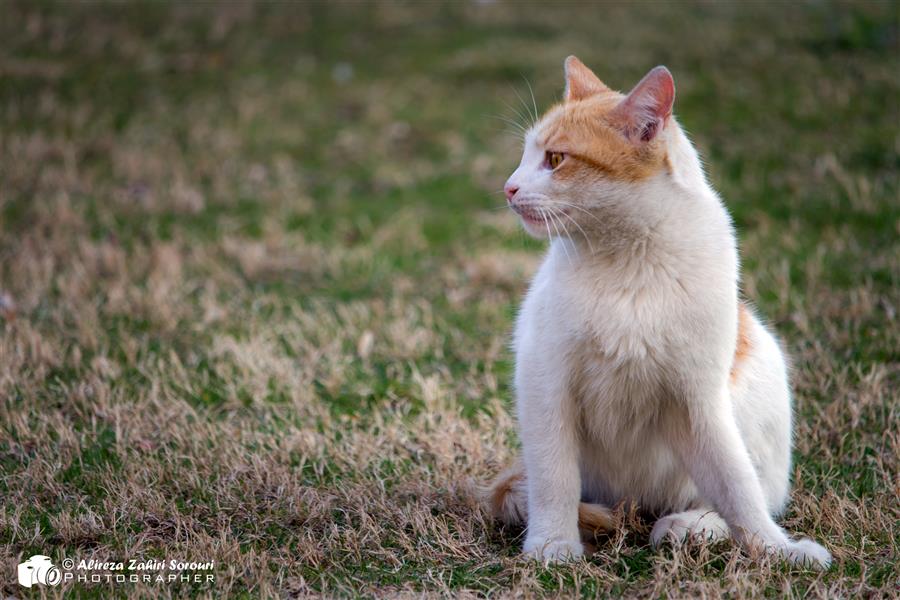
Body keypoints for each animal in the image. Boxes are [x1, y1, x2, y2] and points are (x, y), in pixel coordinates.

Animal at [488, 58, 832, 568]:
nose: (509, 188)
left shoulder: (699, 401)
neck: (630, 260)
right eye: (527, 155)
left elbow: (737, 485)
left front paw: (775, 548)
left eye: (555, 159)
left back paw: (692, 526)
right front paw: (552, 545)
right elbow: (553, 480)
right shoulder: (545, 386)